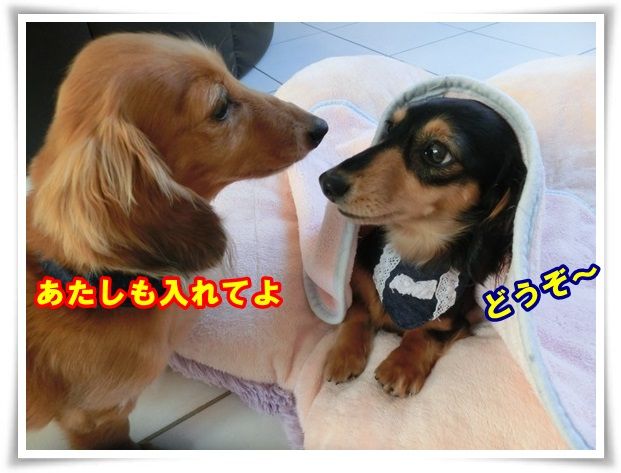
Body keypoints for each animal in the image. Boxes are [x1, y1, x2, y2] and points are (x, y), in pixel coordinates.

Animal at [319, 97, 525, 397]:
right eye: (390, 127)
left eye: (437, 153)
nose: (327, 182)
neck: (412, 251)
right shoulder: (356, 284)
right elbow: (356, 312)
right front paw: (343, 355)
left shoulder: (454, 320)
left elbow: (427, 332)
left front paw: (401, 365)